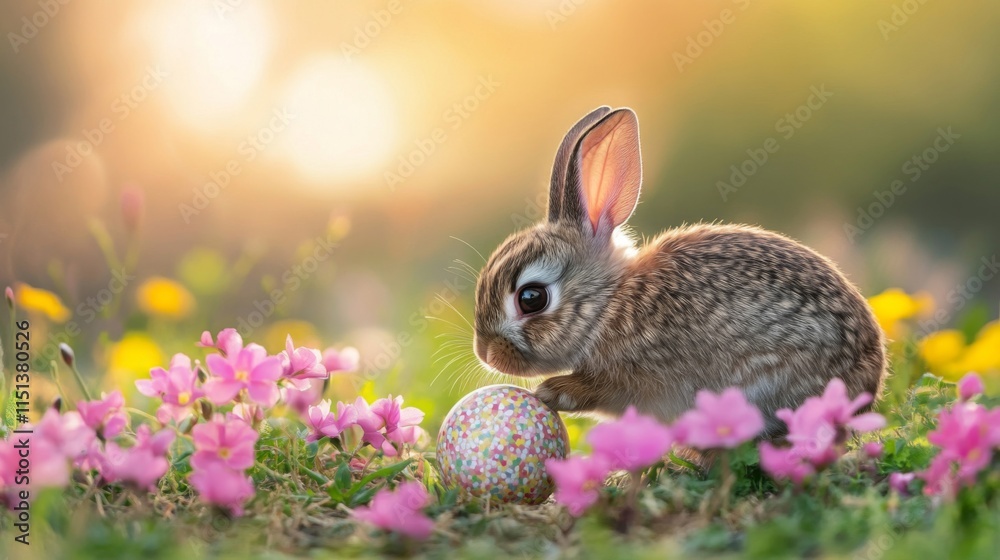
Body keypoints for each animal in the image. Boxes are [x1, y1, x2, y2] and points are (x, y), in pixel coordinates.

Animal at [472, 105, 886, 436]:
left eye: (531, 298)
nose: (486, 354)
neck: (608, 306)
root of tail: (868, 379)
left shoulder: (636, 375)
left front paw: (550, 391)